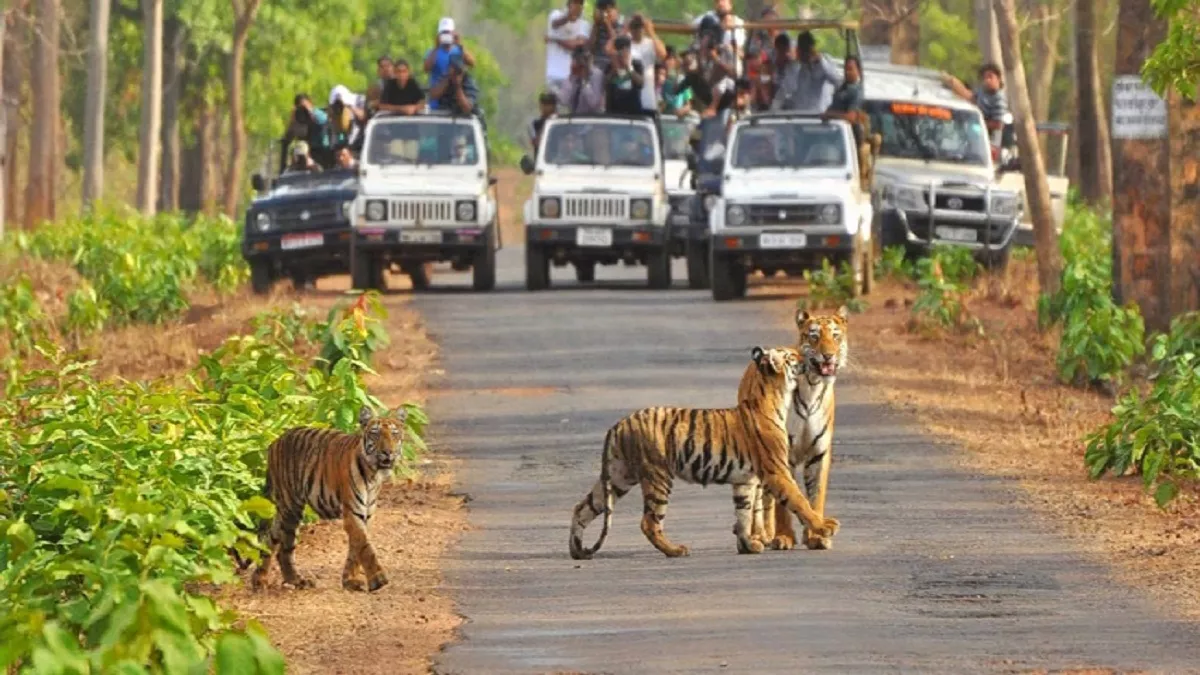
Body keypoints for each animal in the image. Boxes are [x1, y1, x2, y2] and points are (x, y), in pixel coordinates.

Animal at [248, 401, 408, 590]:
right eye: (375, 434)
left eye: (394, 434)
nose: (387, 452)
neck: (373, 474)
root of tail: (275, 441)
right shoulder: (352, 511)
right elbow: (364, 546)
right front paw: (378, 579)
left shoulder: (366, 513)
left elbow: (356, 547)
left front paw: (350, 580)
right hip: (289, 506)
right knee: (282, 545)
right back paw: (276, 580)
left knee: (274, 541)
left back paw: (276, 579)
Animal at [571, 343, 844, 559]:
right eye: (791, 356)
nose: (806, 356)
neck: (775, 396)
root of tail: (619, 424)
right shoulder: (777, 471)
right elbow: (799, 501)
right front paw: (824, 527)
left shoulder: (745, 480)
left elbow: (744, 513)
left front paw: (747, 545)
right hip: (657, 475)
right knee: (649, 522)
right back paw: (675, 550)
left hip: (619, 476)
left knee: (583, 507)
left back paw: (577, 550)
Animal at [739, 305, 854, 552]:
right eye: (814, 336)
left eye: (835, 336)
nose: (828, 355)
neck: (813, 385)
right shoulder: (783, 454)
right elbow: (784, 503)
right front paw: (784, 537)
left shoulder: (819, 453)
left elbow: (815, 497)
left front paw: (816, 536)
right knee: (760, 497)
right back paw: (760, 535)